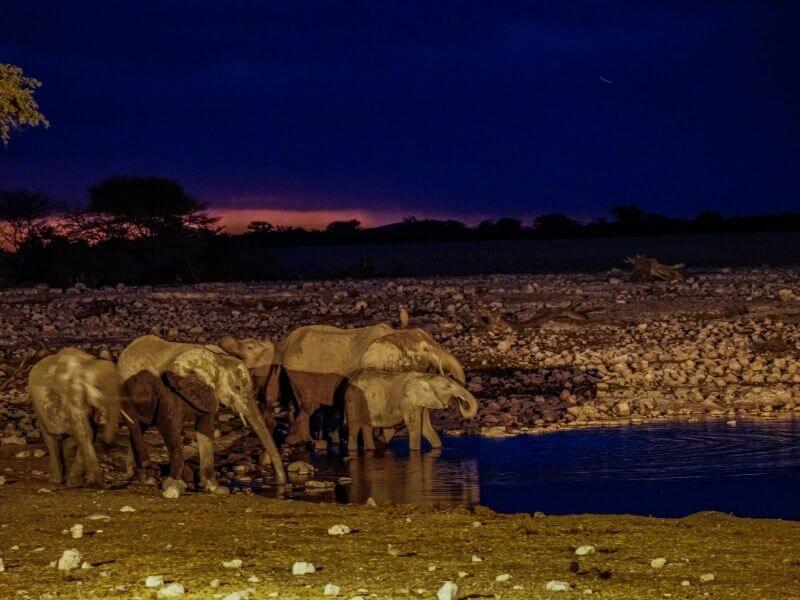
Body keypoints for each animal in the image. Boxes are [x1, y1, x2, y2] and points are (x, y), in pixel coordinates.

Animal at [28, 350, 124, 486]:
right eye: (98, 387)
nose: (110, 443)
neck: (89, 364)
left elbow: (91, 430)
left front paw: (78, 483)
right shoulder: (73, 392)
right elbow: (85, 430)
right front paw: (96, 483)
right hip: (37, 406)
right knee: (49, 437)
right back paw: (56, 481)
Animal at [115, 336, 284, 486]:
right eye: (237, 387)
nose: (280, 483)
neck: (216, 359)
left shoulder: (208, 394)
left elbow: (205, 431)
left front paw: (212, 486)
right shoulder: (168, 391)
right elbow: (168, 427)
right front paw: (173, 484)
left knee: (141, 426)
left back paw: (136, 474)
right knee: (135, 426)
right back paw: (146, 473)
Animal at [282, 324, 468, 446]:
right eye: (426, 349)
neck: (395, 334)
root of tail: (286, 343)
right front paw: (379, 442)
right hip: (299, 374)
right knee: (309, 406)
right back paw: (300, 441)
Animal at [342, 370, 478, 450]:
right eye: (448, 386)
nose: (460, 401)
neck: (426, 376)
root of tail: (350, 381)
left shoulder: (421, 402)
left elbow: (425, 427)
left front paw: (439, 449)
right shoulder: (408, 399)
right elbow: (415, 426)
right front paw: (415, 452)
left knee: (367, 428)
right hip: (353, 401)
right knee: (354, 427)